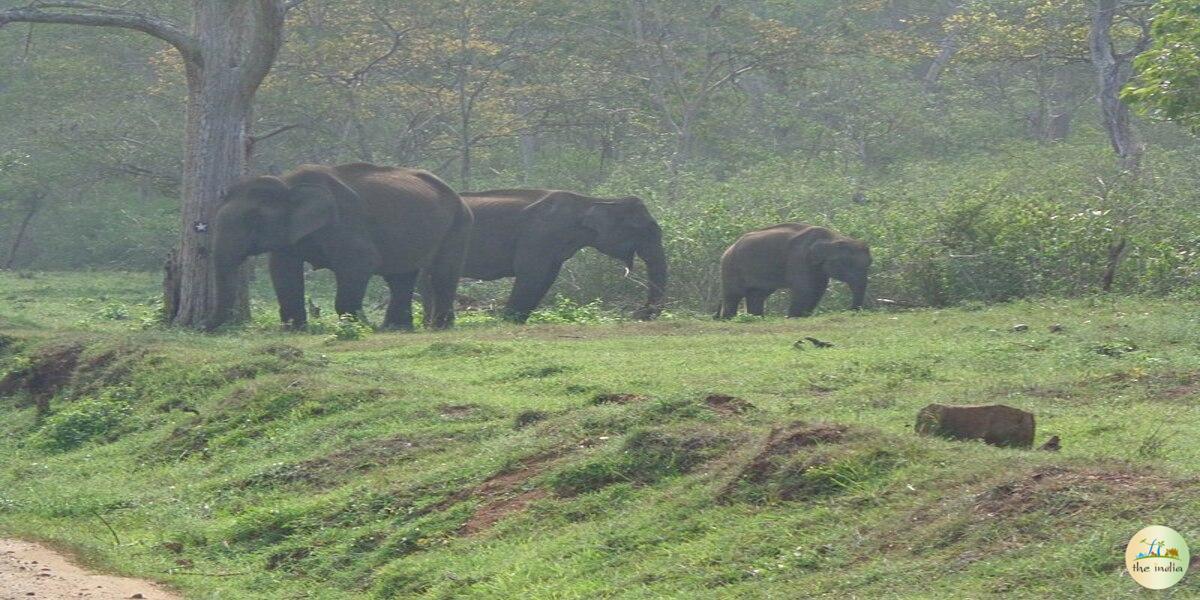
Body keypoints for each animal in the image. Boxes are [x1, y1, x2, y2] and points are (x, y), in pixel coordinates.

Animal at [208, 164, 470, 331]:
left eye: (253, 219)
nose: (205, 327)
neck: (288, 182)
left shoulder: (346, 221)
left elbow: (360, 263)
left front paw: (357, 326)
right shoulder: (289, 236)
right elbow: (283, 271)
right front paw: (294, 329)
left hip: (458, 224)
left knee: (442, 273)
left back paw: (439, 326)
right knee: (400, 279)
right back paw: (395, 327)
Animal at [422, 190, 672, 324]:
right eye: (646, 230)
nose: (639, 312)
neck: (589, 201)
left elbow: (545, 279)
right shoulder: (540, 235)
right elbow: (531, 275)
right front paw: (507, 321)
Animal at [710, 223, 873, 319]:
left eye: (870, 263)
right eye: (846, 263)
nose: (853, 311)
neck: (832, 237)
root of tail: (729, 248)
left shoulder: (817, 268)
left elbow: (818, 290)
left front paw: (803, 316)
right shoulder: (798, 259)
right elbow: (804, 289)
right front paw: (793, 317)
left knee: (757, 295)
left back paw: (756, 318)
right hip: (730, 267)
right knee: (734, 294)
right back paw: (729, 318)